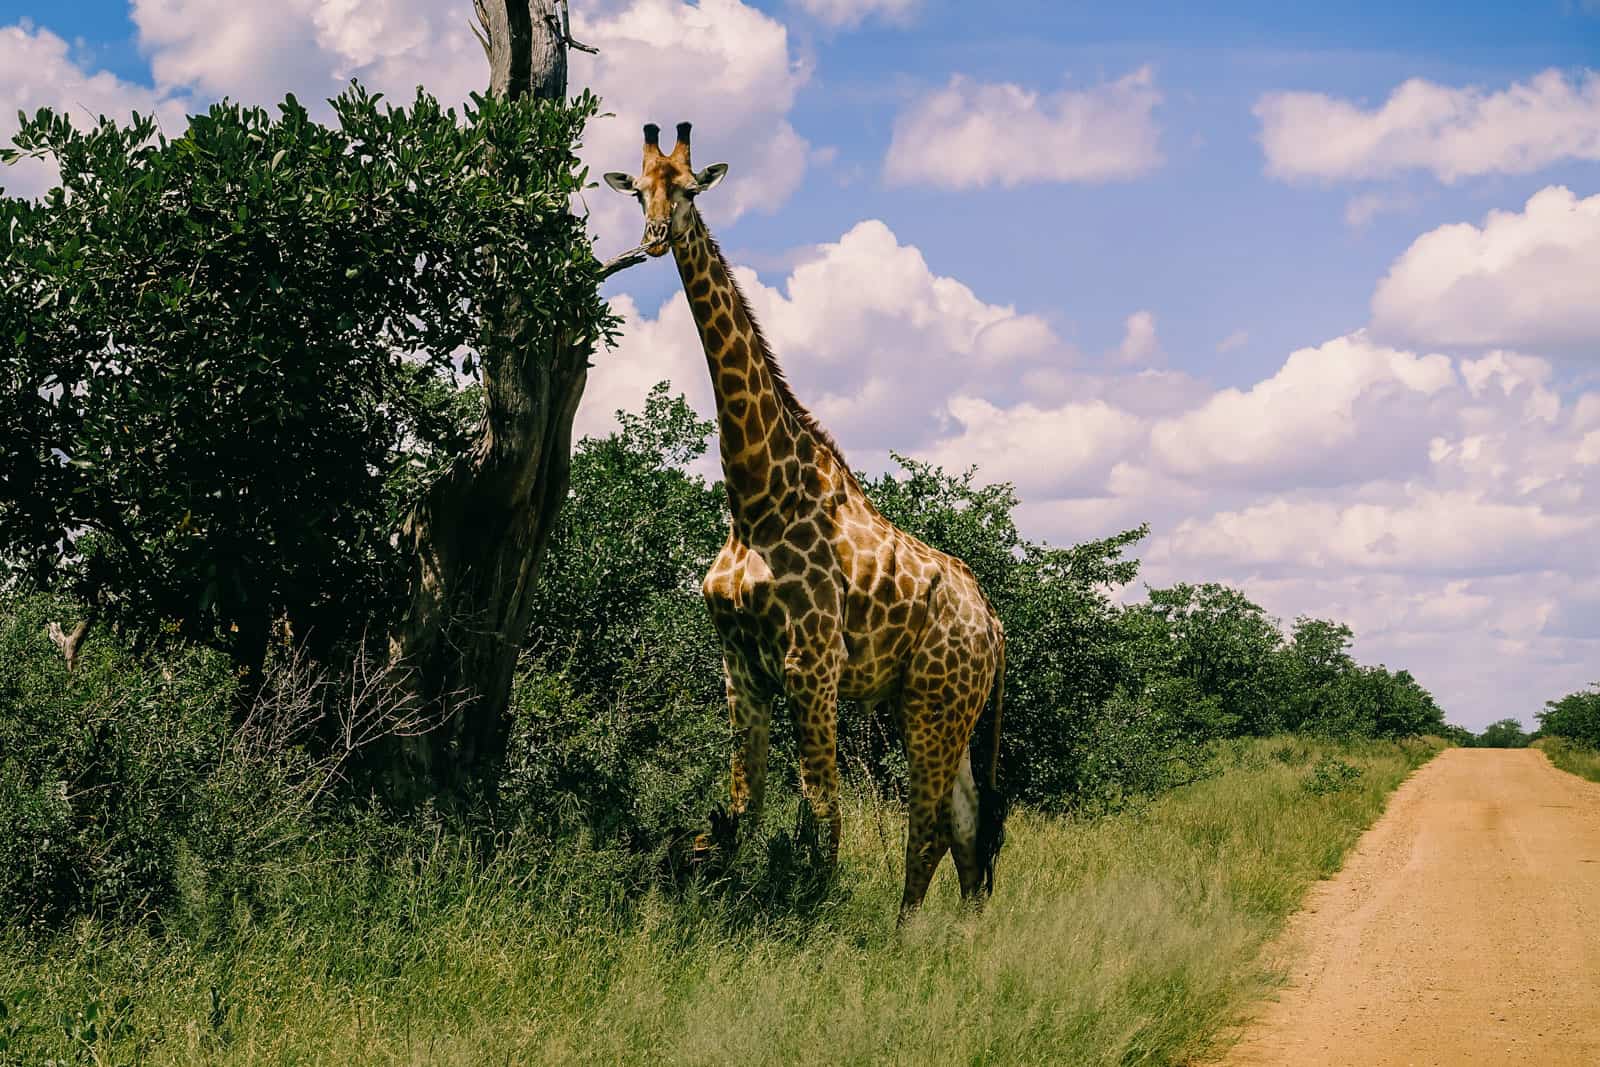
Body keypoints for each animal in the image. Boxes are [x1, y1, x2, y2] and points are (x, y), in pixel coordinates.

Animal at [604, 122, 1008, 917]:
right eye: (639, 191)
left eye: (689, 189)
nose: (655, 237)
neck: (755, 497)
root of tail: (995, 627)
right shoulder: (740, 663)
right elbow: (744, 805)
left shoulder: (812, 663)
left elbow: (822, 808)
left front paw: (811, 917)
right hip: (945, 704)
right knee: (966, 822)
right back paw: (968, 931)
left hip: (934, 700)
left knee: (926, 824)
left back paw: (904, 931)